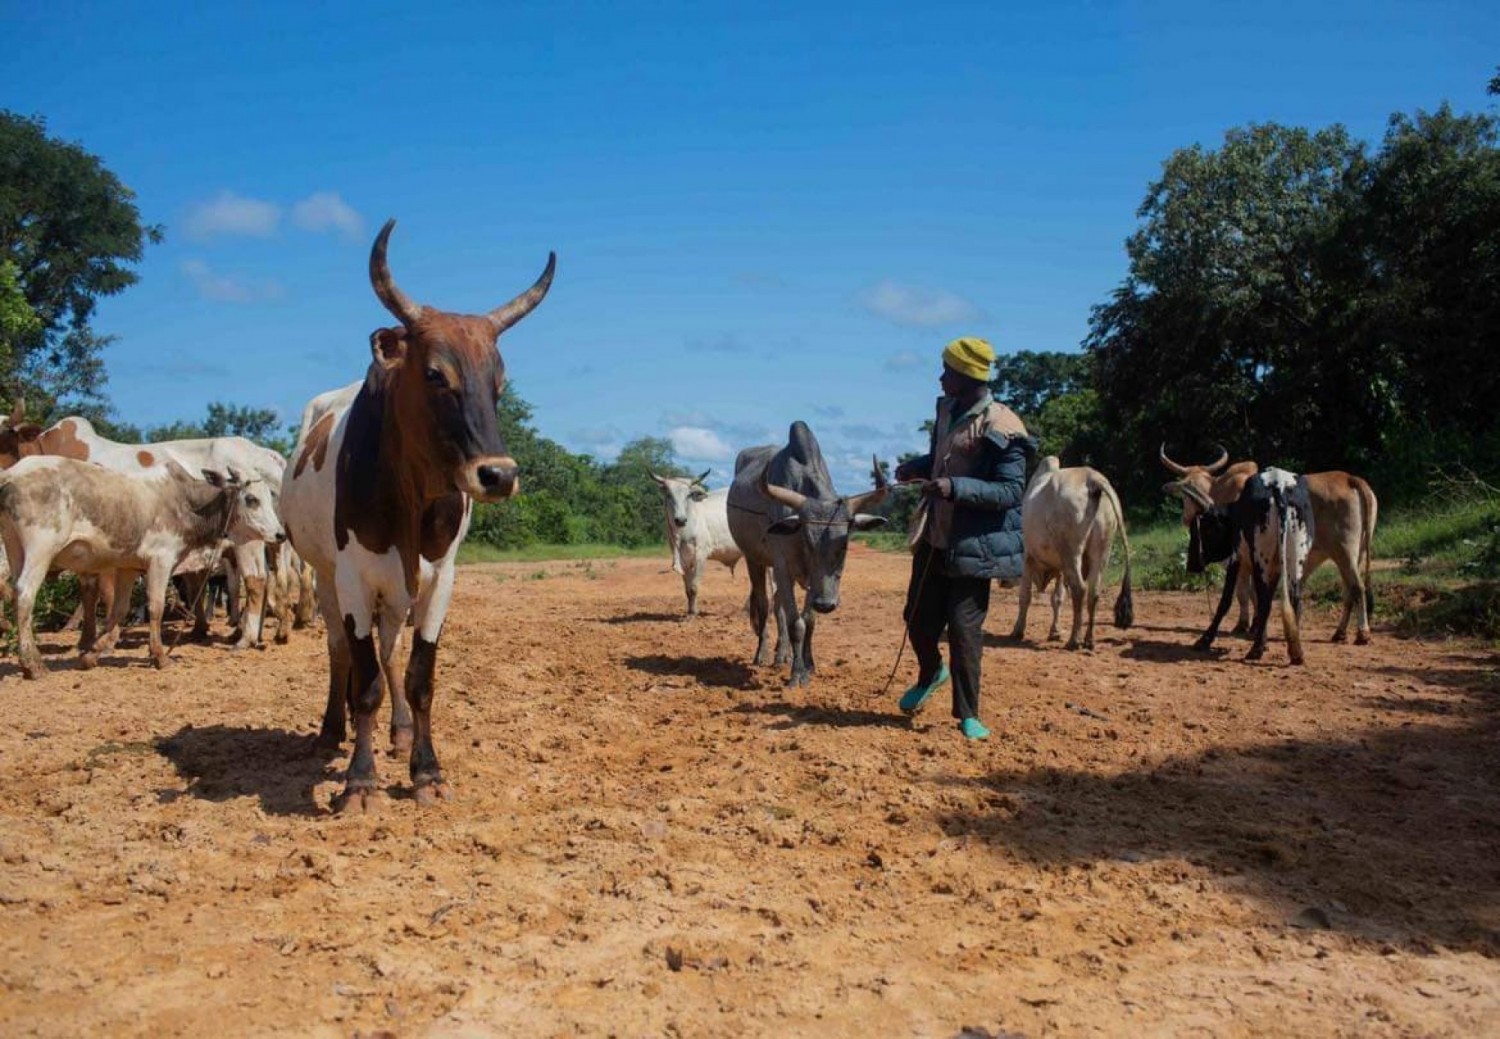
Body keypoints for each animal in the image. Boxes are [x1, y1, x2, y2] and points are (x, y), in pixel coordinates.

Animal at [279, 218, 555, 815]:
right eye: (434, 374)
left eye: (498, 384)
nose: (497, 474)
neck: (408, 491)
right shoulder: (353, 577)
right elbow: (363, 682)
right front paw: (360, 781)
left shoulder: (440, 577)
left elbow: (418, 676)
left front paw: (425, 769)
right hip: (326, 577)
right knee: (343, 651)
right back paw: (331, 731)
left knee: (388, 649)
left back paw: (400, 730)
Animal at [648, 470, 741, 614]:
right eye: (669, 495)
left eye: (688, 495)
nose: (680, 520)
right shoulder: (683, 560)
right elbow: (687, 589)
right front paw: (691, 610)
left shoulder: (701, 555)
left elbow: (694, 587)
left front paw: (693, 614)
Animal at [729, 416, 888, 683]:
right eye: (807, 539)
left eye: (844, 543)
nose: (826, 604)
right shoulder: (783, 567)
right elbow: (796, 623)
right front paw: (797, 674)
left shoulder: (810, 581)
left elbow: (809, 621)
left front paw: (809, 664)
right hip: (755, 561)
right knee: (764, 605)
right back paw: (763, 654)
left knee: (778, 606)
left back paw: (781, 654)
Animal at [1182, 467, 1314, 665]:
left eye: (1204, 529)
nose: (1191, 564)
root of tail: (1279, 485)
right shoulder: (1275, 569)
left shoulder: (1236, 558)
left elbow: (1226, 601)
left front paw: (1205, 640)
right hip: (1295, 560)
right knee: (1294, 599)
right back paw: (1294, 650)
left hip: (1261, 558)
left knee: (1265, 601)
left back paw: (1256, 649)